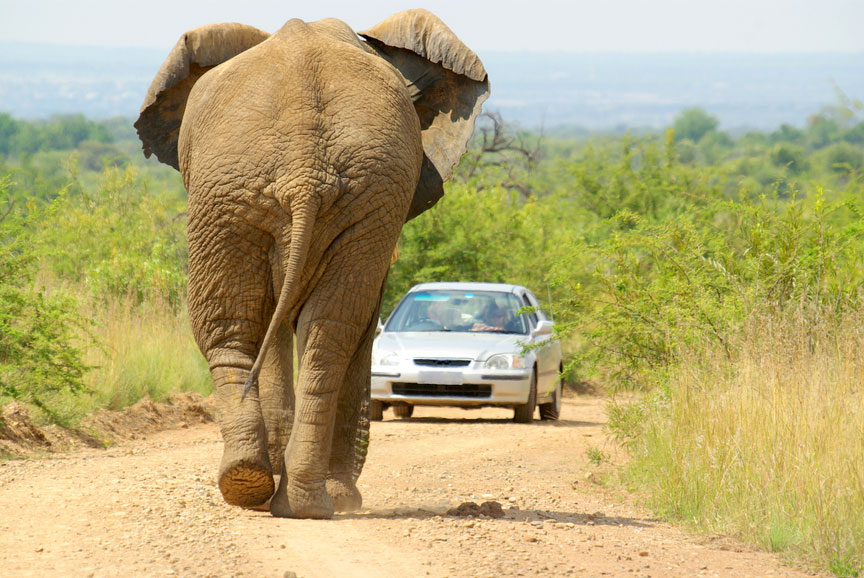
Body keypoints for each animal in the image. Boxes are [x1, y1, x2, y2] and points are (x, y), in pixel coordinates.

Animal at [133, 11, 486, 516]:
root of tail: (305, 169)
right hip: (245, 190)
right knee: (308, 328)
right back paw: (276, 488)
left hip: (295, 193)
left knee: (287, 328)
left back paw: (279, 492)